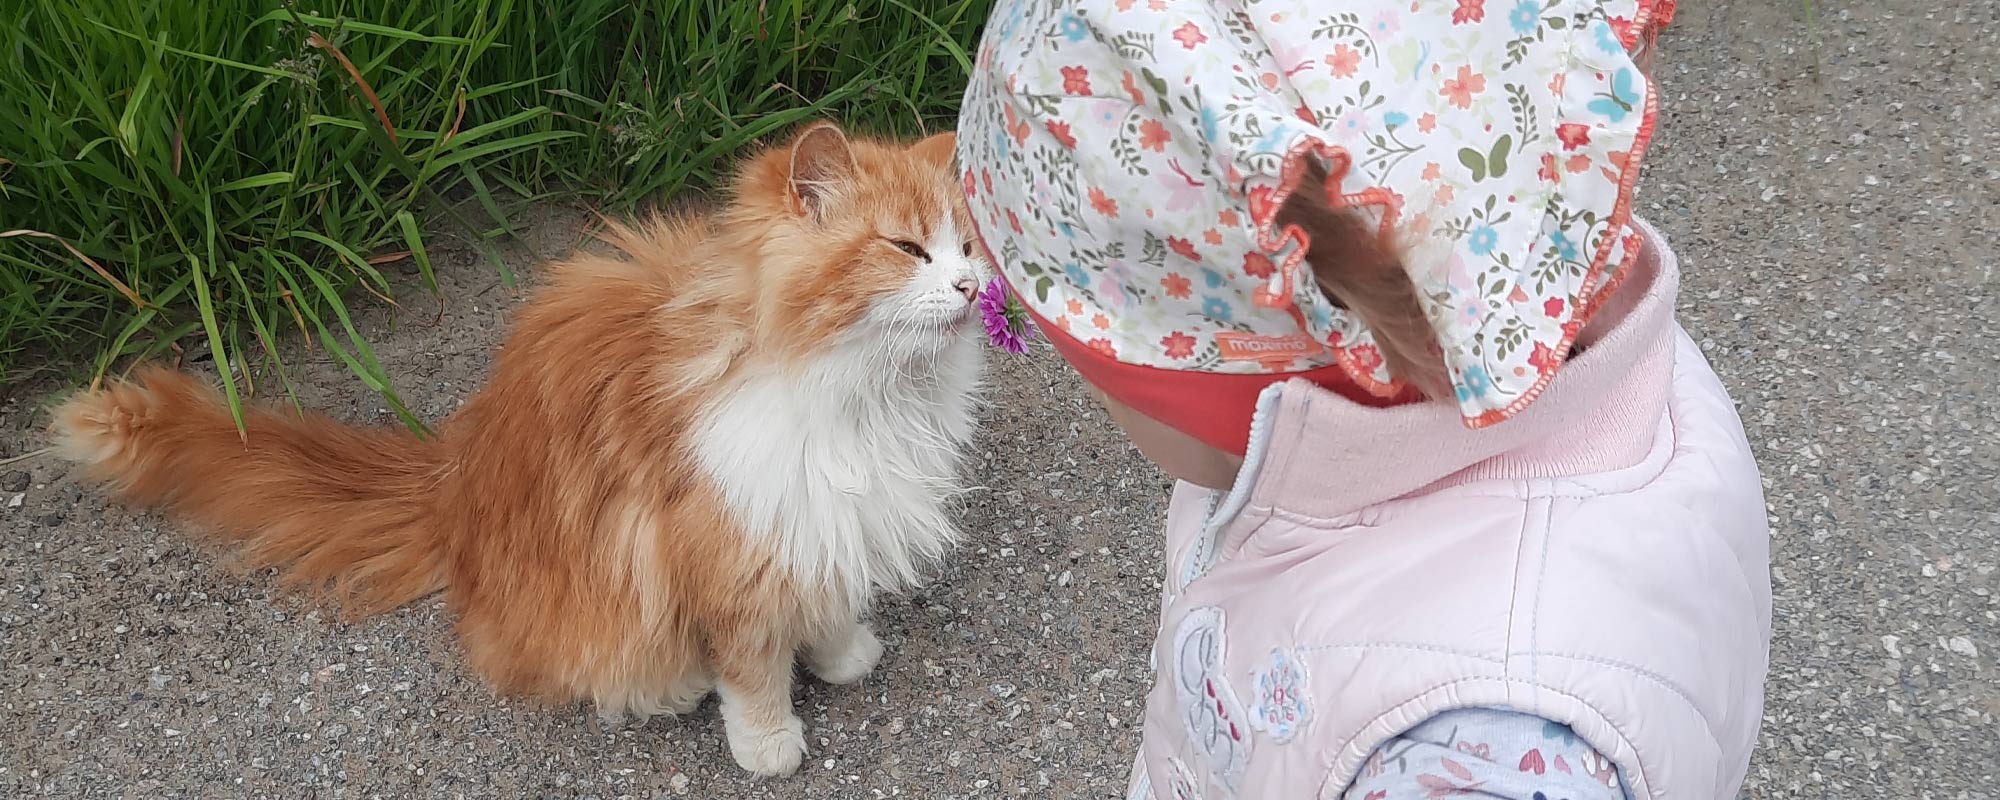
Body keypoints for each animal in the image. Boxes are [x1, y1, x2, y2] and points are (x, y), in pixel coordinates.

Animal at [47, 122, 984, 780]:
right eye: (907, 250)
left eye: (968, 246)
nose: (975, 286)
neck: (866, 395)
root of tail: (452, 478)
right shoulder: (734, 550)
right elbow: (753, 672)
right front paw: (771, 743)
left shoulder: (820, 519)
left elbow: (827, 597)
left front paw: (843, 655)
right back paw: (670, 687)